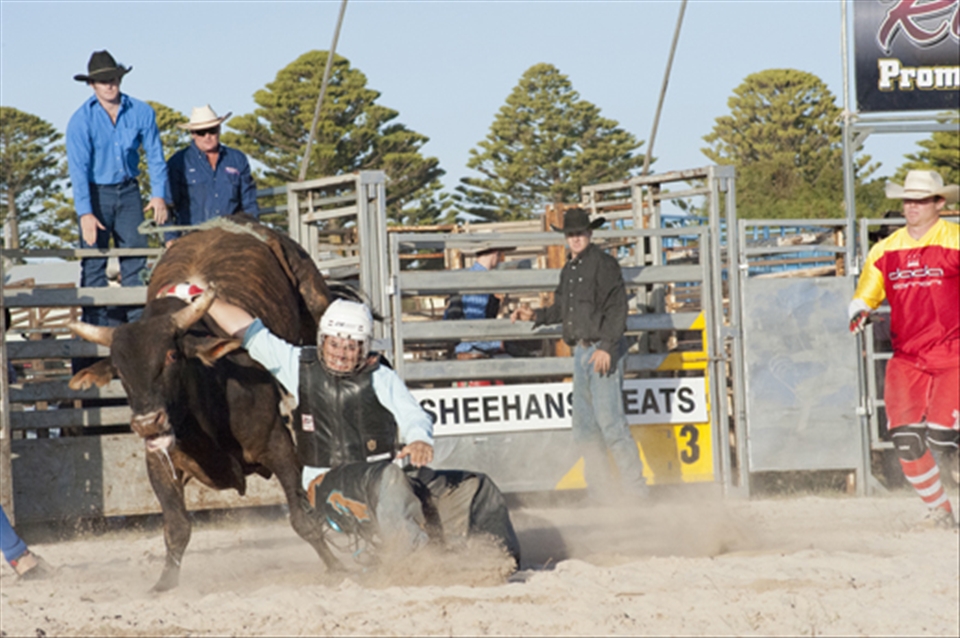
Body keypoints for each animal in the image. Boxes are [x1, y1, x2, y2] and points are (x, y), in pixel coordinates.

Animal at [68, 215, 344, 591]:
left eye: (171, 356)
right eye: (119, 371)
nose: (147, 423)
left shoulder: (278, 444)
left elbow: (303, 518)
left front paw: (338, 566)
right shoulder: (159, 462)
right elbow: (177, 528)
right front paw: (163, 584)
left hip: (314, 298)